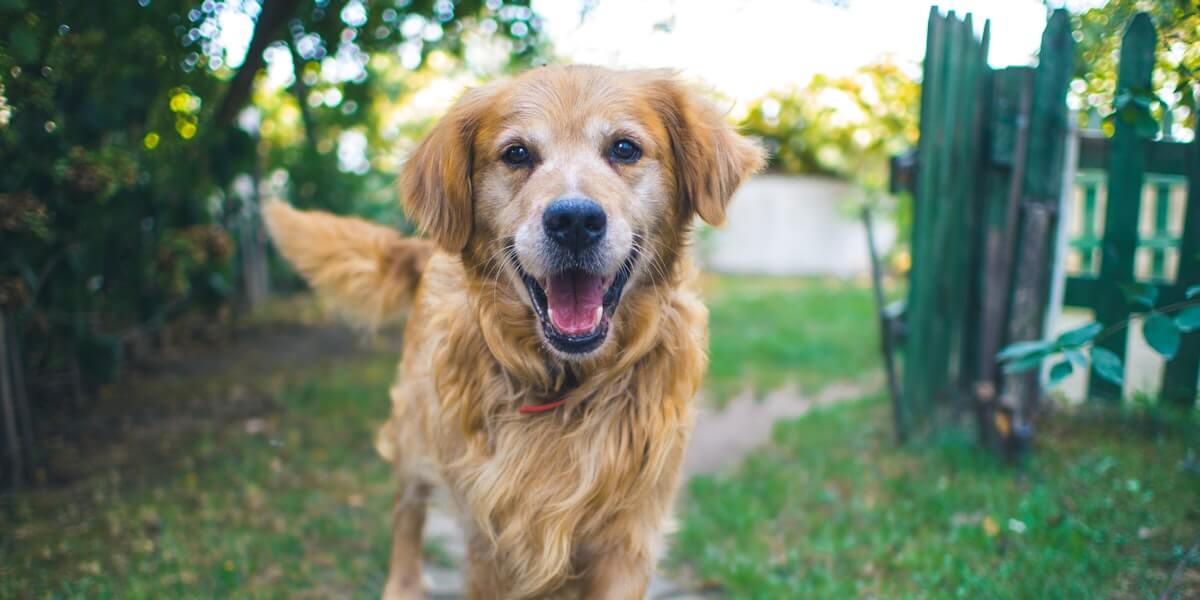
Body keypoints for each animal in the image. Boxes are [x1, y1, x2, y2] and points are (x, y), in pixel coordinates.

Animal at [262, 65, 758, 600]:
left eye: (624, 149)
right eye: (517, 153)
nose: (574, 220)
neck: (568, 385)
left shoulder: (628, 537)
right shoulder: (492, 536)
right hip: (416, 428)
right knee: (407, 509)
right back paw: (403, 583)